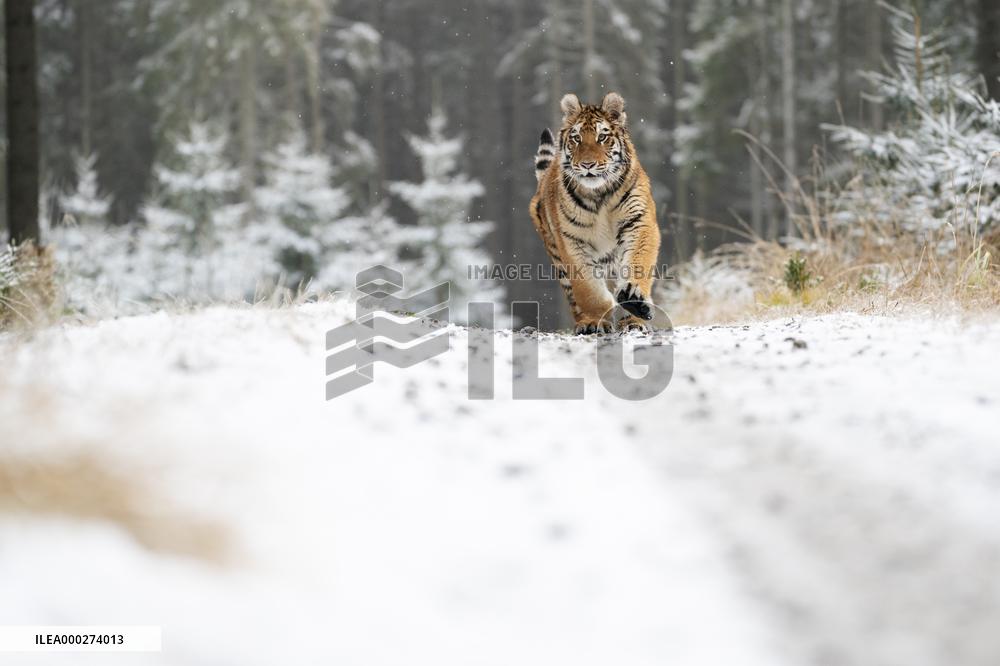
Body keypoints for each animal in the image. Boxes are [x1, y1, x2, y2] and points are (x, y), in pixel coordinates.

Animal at [529, 91, 661, 334]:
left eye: (602, 137)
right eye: (576, 138)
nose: (588, 164)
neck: (599, 194)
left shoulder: (638, 222)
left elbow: (639, 261)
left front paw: (635, 300)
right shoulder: (571, 240)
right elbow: (588, 288)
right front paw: (596, 320)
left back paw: (634, 321)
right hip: (558, 259)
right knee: (574, 296)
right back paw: (585, 322)